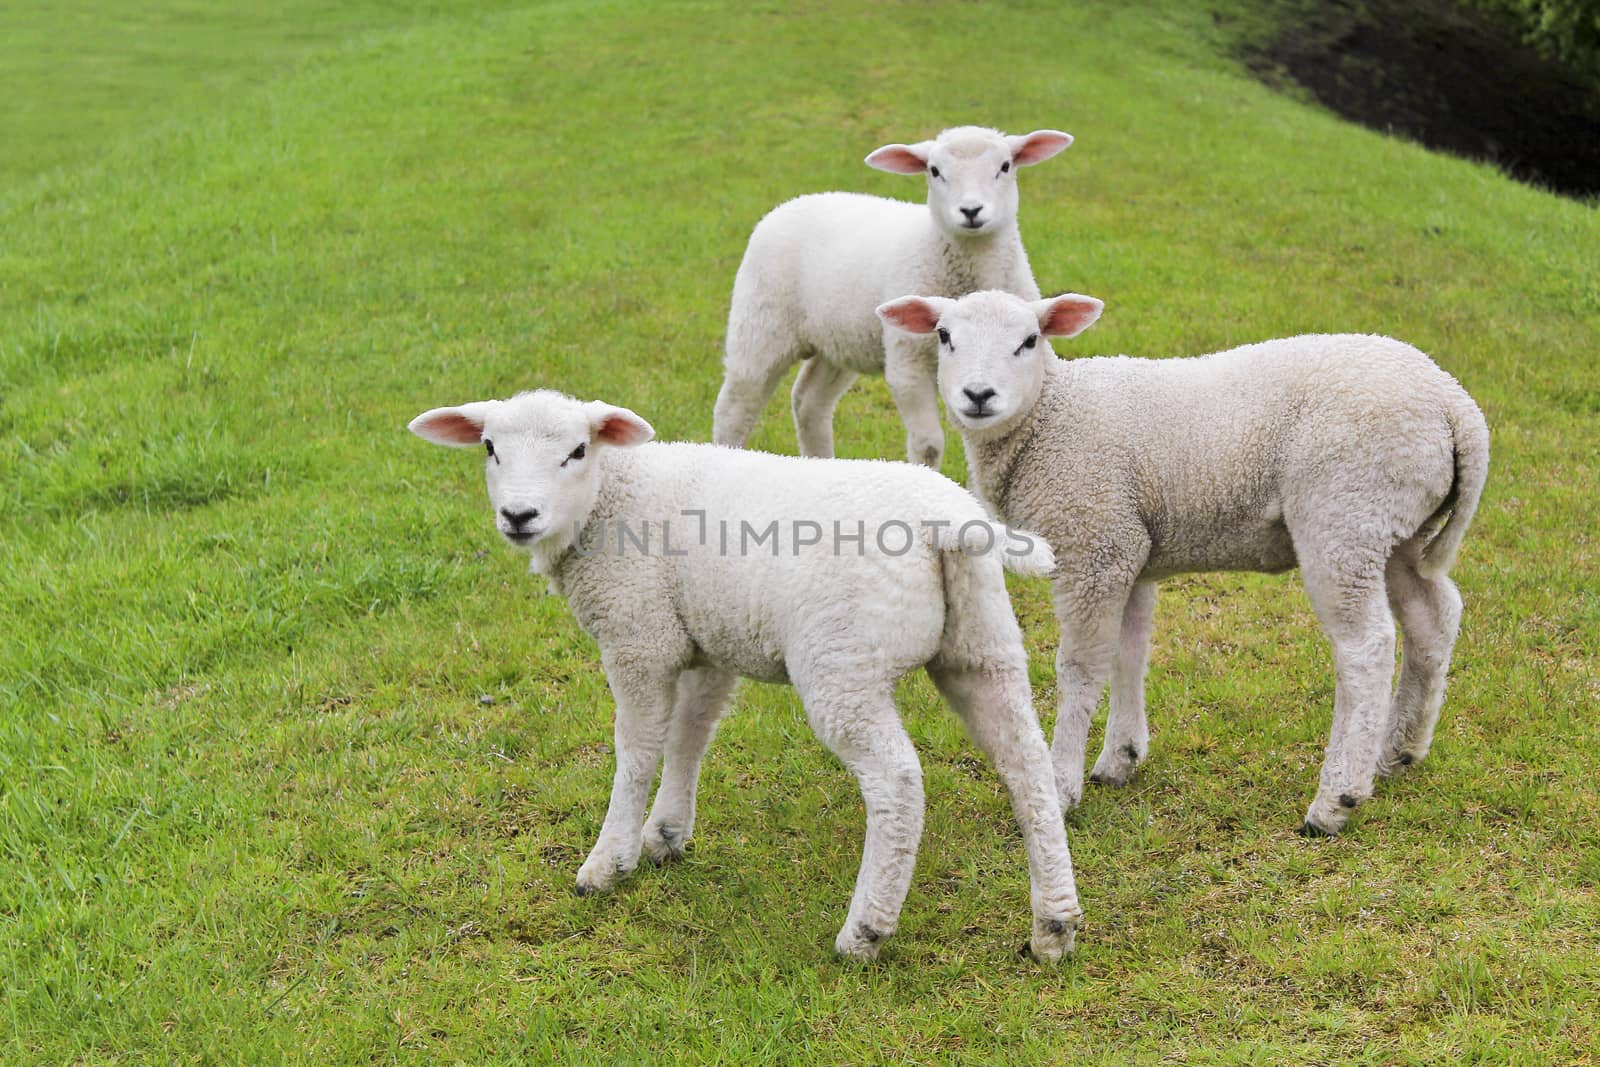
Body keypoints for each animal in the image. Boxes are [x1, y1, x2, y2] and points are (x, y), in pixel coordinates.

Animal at [412, 390, 1088, 959]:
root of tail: (945, 521)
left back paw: (865, 931)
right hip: (982, 643)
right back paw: (1053, 924)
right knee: (1026, 765)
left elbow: (637, 750)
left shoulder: (639, 638)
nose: (518, 515)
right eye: (490, 448)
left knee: (896, 782)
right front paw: (666, 834)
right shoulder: (708, 642)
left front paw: (609, 862)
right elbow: (690, 735)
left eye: (577, 451)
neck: (613, 495)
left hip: (842, 663)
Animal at [716, 125, 1075, 467]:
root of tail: (793, 202)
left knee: (808, 401)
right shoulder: (907, 359)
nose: (971, 211)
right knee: (735, 405)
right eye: (934, 170)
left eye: (1005, 166)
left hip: (838, 341)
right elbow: (928, 445)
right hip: (761, 324)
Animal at [876, 287, 1484, 838]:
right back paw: (1399, 752)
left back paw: (1336, 800)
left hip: (1344, 513)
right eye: (944, 337)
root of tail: (1456, 405)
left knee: (1367, 648)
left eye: (1029, 340)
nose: (979, 395)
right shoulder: (1128, 550)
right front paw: (1119, 757)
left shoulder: (1093, 543)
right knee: (1433, 618)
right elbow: (1129, 654)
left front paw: (1061, 783)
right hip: (1396, 527)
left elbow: (1080, 668)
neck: (1051, 414)